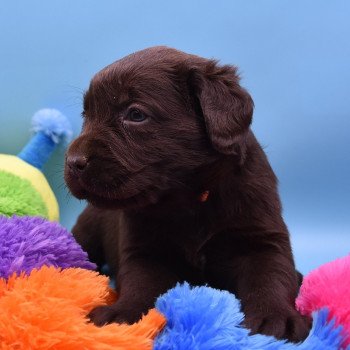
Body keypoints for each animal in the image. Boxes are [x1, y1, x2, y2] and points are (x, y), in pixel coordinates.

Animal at [65, 46, 308, 342]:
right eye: (86, 115)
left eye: (135, 115)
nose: (73, 162)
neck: (190, 197)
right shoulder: (145, 250)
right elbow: (140, 282)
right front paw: (123, 313)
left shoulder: (261, 236)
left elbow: (271, 275)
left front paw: (274, 317)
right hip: (86, 234)